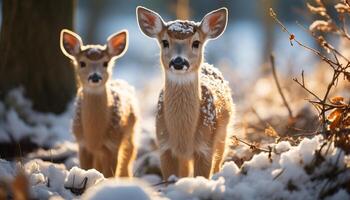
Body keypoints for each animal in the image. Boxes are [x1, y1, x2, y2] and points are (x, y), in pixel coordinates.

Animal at [59, 28, 137, 177]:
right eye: (82, 63)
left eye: (105, 63)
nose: (95, 76)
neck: (94, 137)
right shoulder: (82, 143)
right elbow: (85, 169)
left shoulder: (113, 143)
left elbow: (110, 174)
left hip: (131, 133)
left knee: (128, 161)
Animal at [137, 6, 235, 179]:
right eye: (165, 42)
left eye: (196, 42)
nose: (178, 61)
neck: (183, 138)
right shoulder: (164, 145)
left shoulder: (205, 146)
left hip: (223, 134)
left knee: (218, 162)